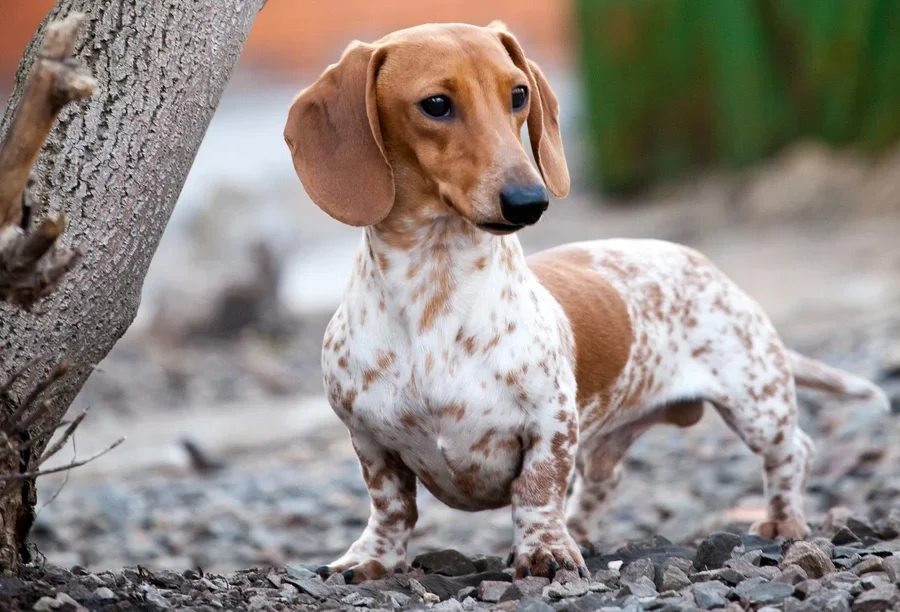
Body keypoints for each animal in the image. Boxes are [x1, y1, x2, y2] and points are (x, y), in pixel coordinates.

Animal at [284, 20, 892, 584]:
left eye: (518, 94)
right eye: (436, 104)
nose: (530, 200)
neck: (433, 295)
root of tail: (704, 264)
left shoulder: (550, 423)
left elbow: (537, 490)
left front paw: (545, 551)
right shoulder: (368, 438)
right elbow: (390, 506)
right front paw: (370, 558)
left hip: (756, 402)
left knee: (794, 451)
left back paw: (783, 521)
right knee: (606, 477)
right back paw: (583, 529)